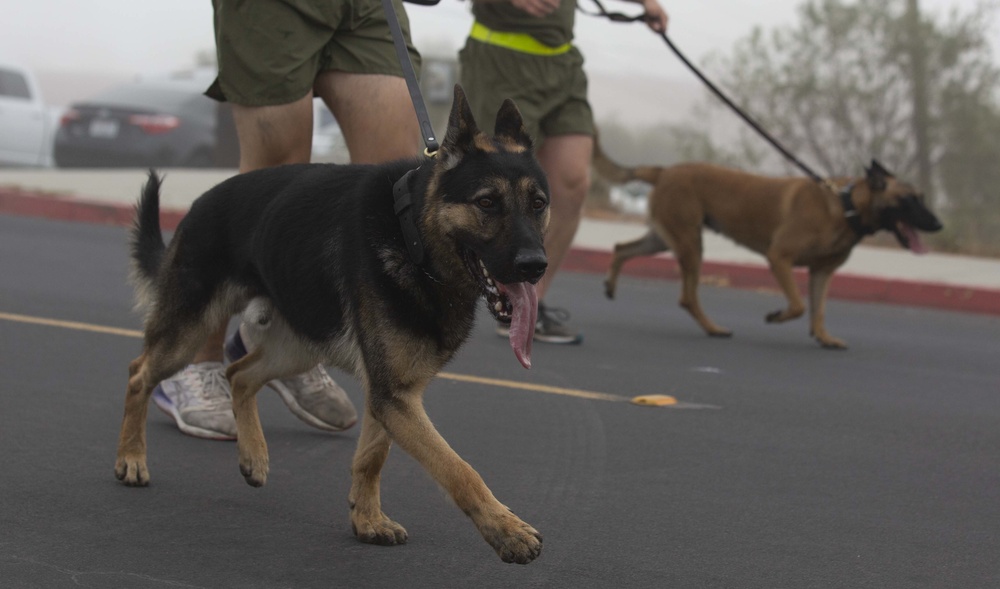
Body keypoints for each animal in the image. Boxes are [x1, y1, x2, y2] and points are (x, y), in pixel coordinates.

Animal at [121, 85, 552, 564]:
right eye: (487, 203)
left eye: (538, 204)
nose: (535, 266)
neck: (413, 238)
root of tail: (198, 204)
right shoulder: (394, 397)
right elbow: (458, 468)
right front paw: (506, 530)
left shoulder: (394, 394)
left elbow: (372, 457)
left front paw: (366, 520)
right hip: (189, 333)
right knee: (139, 373)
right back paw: (132, 459)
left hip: (300, 347)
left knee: (239, 374)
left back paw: (253, 455)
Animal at [592, 148, 944, 350]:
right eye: (910, 199)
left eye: (922, 198)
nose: (939, 225)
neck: (846, 206)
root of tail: (664, 170)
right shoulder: (779, 258)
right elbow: (799, 305)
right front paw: (776, 316)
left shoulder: (822, 272)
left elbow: (818, 308)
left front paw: (823, 336)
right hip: (690, 244)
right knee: (687, 297)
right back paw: (714, 328)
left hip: (666, 239)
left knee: (621, 248)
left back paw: (610, 285)